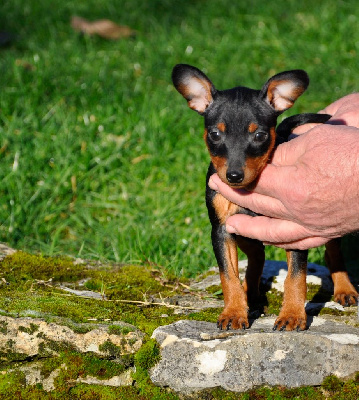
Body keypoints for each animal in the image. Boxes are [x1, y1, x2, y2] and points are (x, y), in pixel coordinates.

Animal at [173, 65, 358, 332]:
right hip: (244, 229)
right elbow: (228, 276)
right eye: (215, 134)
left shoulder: (292, 228)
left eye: (260, 135)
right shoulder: (222, 229)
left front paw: (292, 315)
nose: (234, 175)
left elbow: (295, 277)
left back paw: (344, 288)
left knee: (332, 251)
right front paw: (234, 312)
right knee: (257, 255)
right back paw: (251, 295)